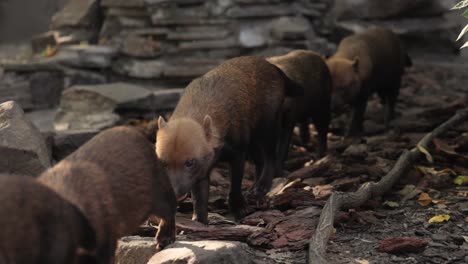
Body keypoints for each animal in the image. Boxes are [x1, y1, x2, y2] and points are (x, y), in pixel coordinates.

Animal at [155, 55, 298, 223]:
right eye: (163, 163)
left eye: (190, 162)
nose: (174, 194)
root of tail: (273, 67)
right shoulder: (203, 169)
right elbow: (200, 197)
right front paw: (199, 221)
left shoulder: (238, 154)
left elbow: (235, 185)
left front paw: (239, 210)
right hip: (253, 140)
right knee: (260, 161)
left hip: (268, 127)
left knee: (270, 157)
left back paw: (261, 187)